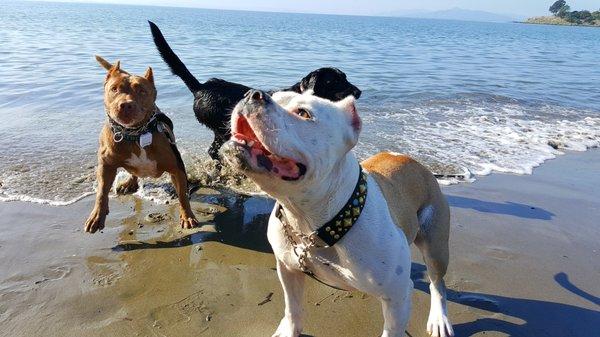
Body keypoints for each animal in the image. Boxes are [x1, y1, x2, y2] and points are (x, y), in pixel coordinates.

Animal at [84, 55, 199, 234]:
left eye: (142, 91)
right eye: (114, 89)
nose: (125, 104)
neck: (135, 134)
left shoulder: (177, 168)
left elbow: (183, 196)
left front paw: (187, 216)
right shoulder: (106, 165)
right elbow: (102, 193)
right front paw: (97, 216)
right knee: (133, 172)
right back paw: (129, 183)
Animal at [149, 21, 360, 160]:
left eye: (345, 77)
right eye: (335, 81)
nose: (359, 92)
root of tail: (201, 87)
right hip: (224, 128)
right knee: (214, 151)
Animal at [223, 89, 452, 336]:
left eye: (303, 113)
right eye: (275, 96)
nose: (253, 94)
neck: (310, 222)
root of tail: (410, 159)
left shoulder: (397, 296)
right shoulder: (288, 270)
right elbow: (292, 308)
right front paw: (290, 329)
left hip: (435, 245)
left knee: (437, 282)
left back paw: (439, 318)